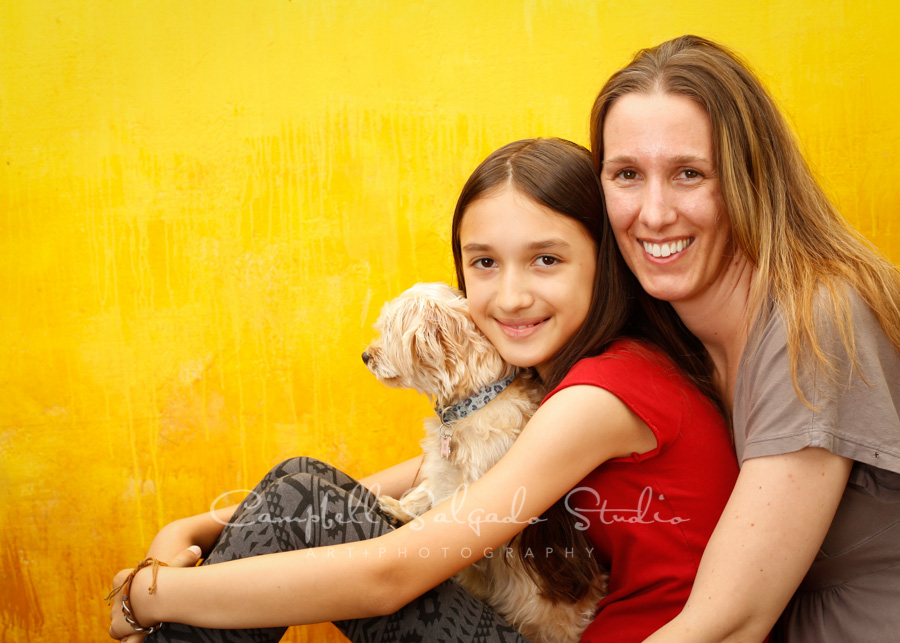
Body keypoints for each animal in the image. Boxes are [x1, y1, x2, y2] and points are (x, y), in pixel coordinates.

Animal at [360, 284, 604, 643]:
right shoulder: (441, 475)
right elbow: (424, 492)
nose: (365, 355)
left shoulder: (473, 494)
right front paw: (402, 506)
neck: (471, 404)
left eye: (389, 330)